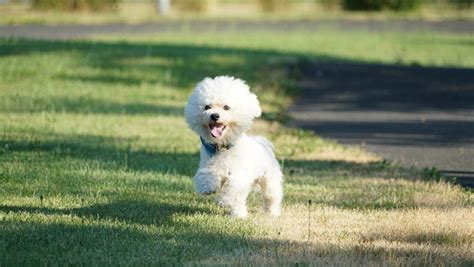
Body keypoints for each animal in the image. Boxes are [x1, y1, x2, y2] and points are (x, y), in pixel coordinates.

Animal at [184, 76, 282, 219]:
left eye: (226, 107)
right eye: (207, 106)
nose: (214, 115)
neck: (222, 147)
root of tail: (262, 143)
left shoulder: (241, 173)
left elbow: (233, 187)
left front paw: (224, 200)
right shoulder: (207, 163)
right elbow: (206, 175)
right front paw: (207, 187)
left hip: (269, 179)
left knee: (271, 197)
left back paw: (272, 213)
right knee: (240, 202)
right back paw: (238, 215)